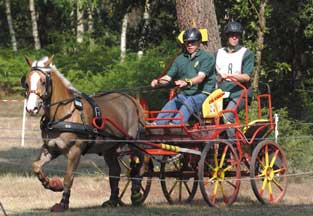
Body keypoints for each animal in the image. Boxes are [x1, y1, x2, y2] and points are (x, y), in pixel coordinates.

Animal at [20, 56, 147, 212]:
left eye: (44, 81)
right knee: (115, 171)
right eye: (26, 83)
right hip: (109, 148)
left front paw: (63, 203)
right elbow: (36, 166)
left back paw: (136, 194)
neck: (64, 113)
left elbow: (68, 178)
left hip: (133, 141)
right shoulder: (51, 148)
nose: (31, 108)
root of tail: (132, 100)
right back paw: (112, 200)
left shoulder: (75, 150)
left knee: (142, 162)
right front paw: (51, 184)